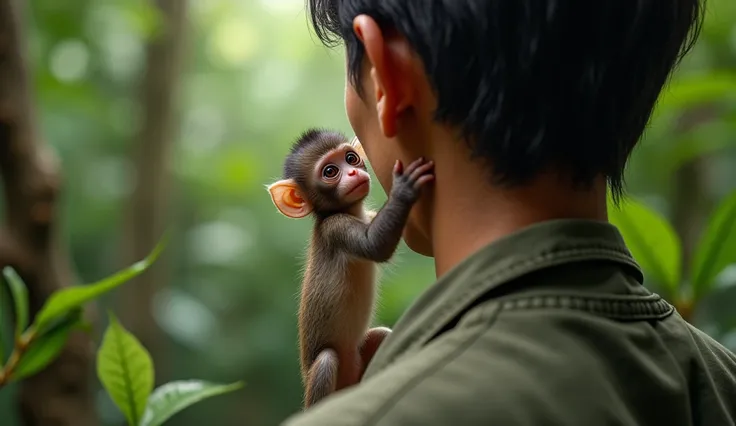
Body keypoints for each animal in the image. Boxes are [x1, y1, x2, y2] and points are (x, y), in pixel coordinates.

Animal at [268, 128, 434, 408]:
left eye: (351, 158)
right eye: (330, 171)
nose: (354, 173)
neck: (351, 212)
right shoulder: (334, 228)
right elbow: (375, 246)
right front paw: (403, 189)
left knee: (380, 335)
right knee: (326, 361)